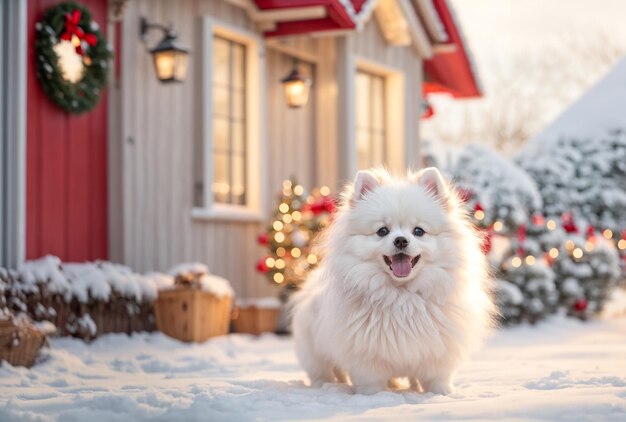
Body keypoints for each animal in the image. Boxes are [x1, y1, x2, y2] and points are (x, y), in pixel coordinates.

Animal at [290, 166, 494, 394]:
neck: (402, 295)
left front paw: (442, 394)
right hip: (314, 350)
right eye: (382, 231)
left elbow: (436, 378)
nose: (401, 240)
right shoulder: (365, 356)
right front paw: (375, 396)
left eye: (418, 231)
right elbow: (371, 383)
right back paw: (326, 386)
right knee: (323, 371)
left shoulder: (437, 350)